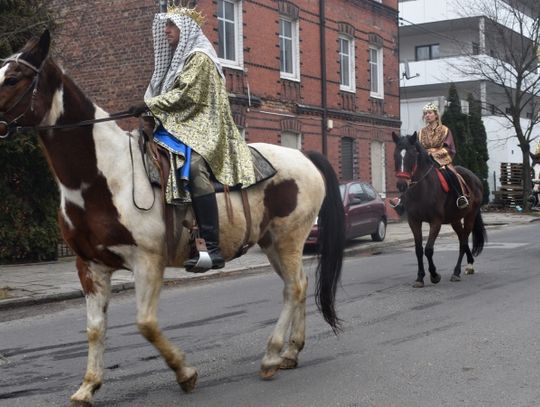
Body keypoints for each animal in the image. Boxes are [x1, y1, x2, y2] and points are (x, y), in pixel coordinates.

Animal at [0, 31, 346, 404]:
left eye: (14, 77)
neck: (103, 177)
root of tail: (304, 156)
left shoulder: (148, 261)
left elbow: (145, 323)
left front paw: (185, 372)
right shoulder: (90, 266)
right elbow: (95, 329)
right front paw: (88, 386)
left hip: (288, 238)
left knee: (293, 287)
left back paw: (271, 355)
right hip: (272, 243)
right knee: (298, 285)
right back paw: (291, 352)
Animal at [390, 132, 488, 288]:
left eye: (411, 155)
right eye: (395, 155)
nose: (401, 185)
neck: (422, 190)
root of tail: (475, 178)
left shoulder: (435, 222)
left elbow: (429, 249)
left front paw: (435, 275)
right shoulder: (414, 221)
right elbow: (419, 250)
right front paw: (420, 278)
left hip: (470, 216)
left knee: (463, 242)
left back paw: (457, 272)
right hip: (455, 220)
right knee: (462, 239)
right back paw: (469, 265)